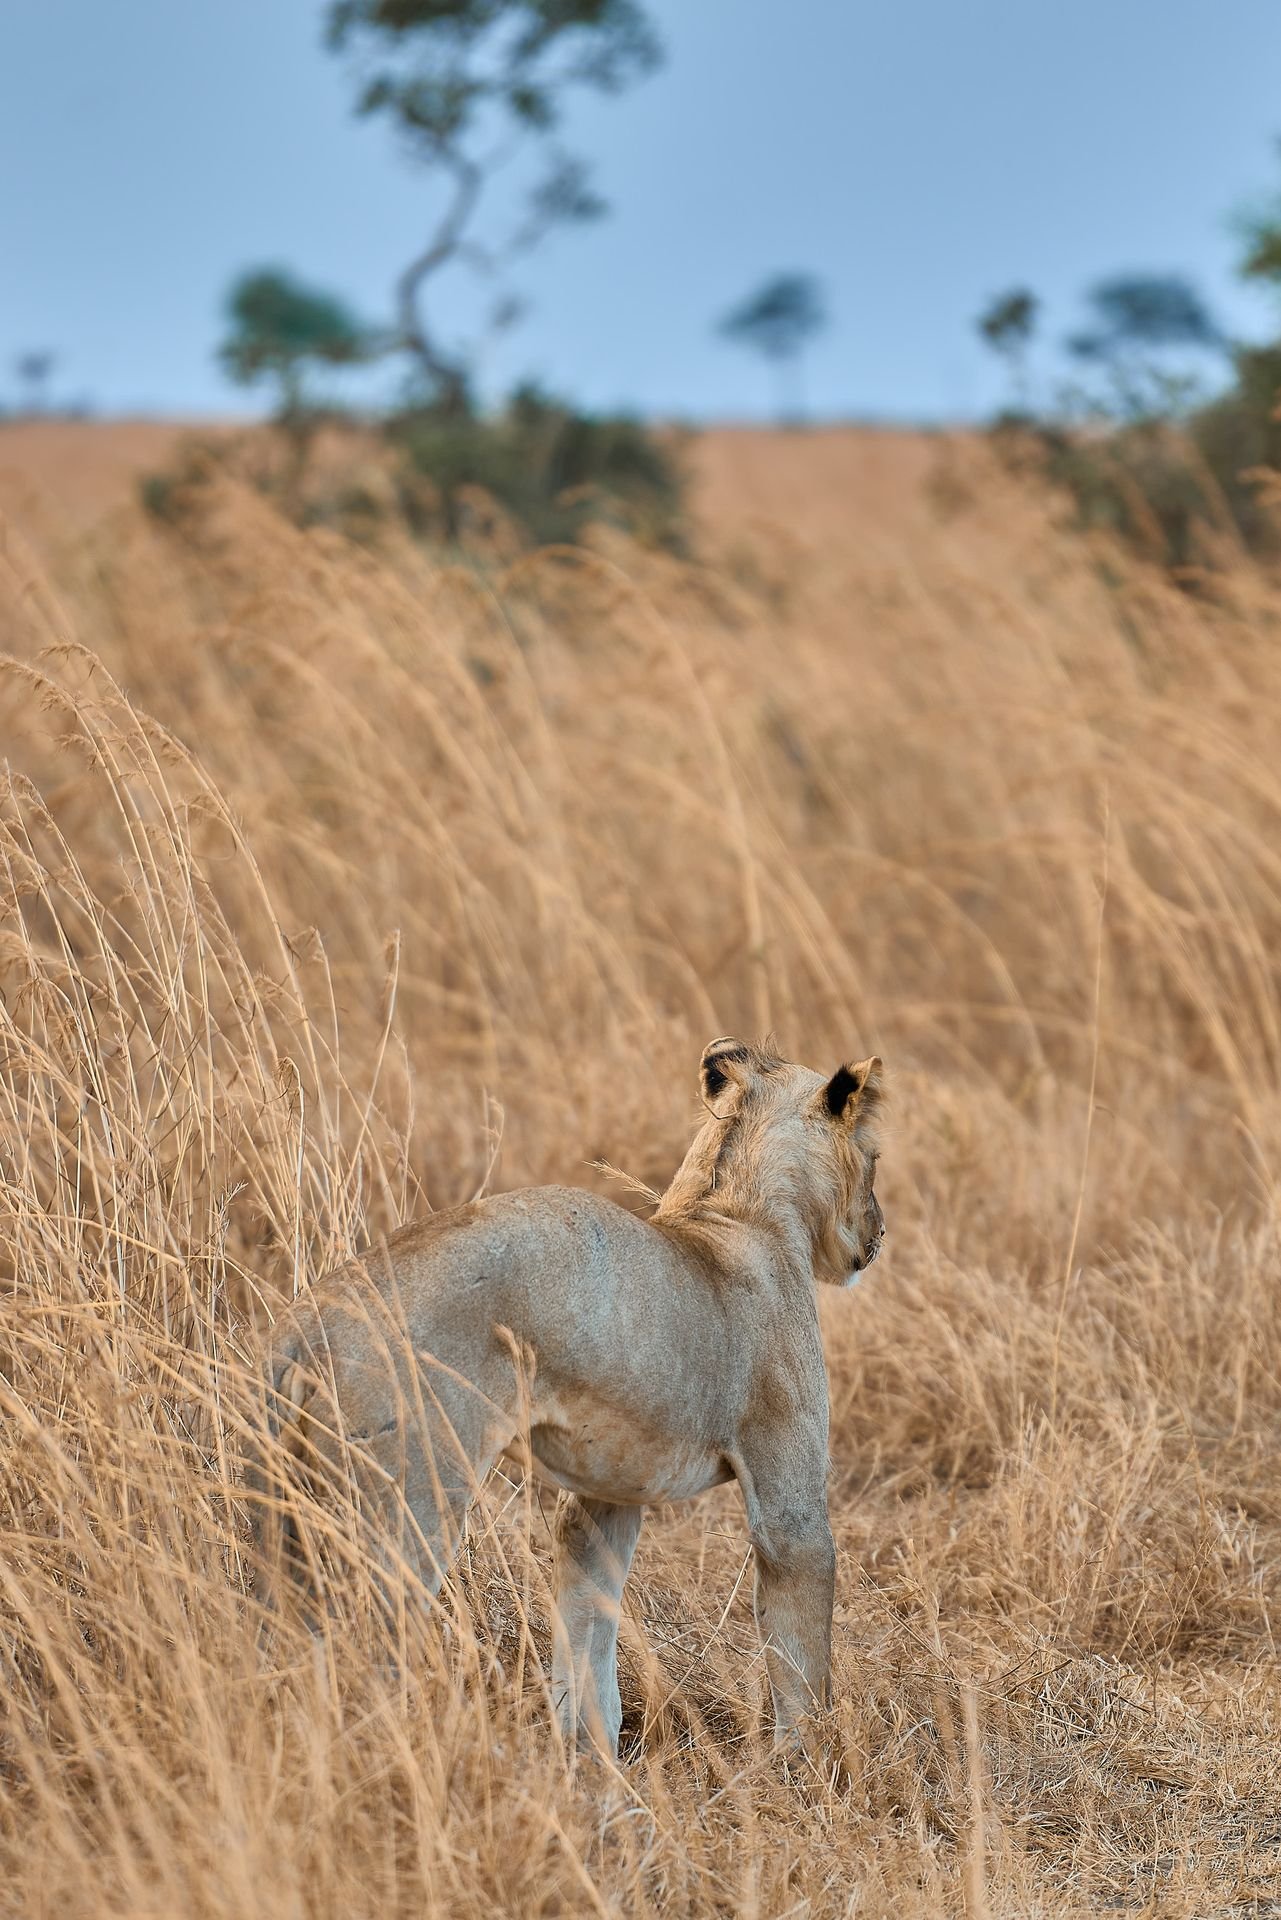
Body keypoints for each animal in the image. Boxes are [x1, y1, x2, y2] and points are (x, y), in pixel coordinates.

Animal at [248, 1037, 886, 1757]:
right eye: (874, 1157)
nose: (878, 1232)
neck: (734, 1206)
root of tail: (309, 1319)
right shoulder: (789, 1508)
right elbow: (802, 1660)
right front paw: (810, 1764)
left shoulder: (611, 1488)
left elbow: (588, 1621)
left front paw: (591, 1751)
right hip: (408, 1502)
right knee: (363, 1639)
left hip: (287, 1510)